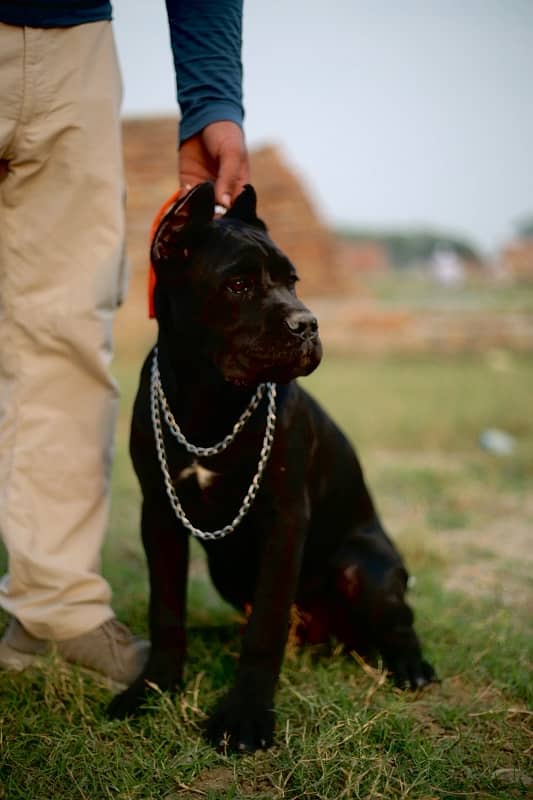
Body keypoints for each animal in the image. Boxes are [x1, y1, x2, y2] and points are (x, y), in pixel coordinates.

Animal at [110, 183, 434, 752]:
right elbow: (166, 608)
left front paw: (245, 717)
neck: (210, 399)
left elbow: (264, 629)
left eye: (292, 281)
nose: (307, 324)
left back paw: (411, 667)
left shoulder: (284, 519)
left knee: (397, 621)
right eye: (238, 284)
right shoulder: (159, 515)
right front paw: (153, 687)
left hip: (365, 567)